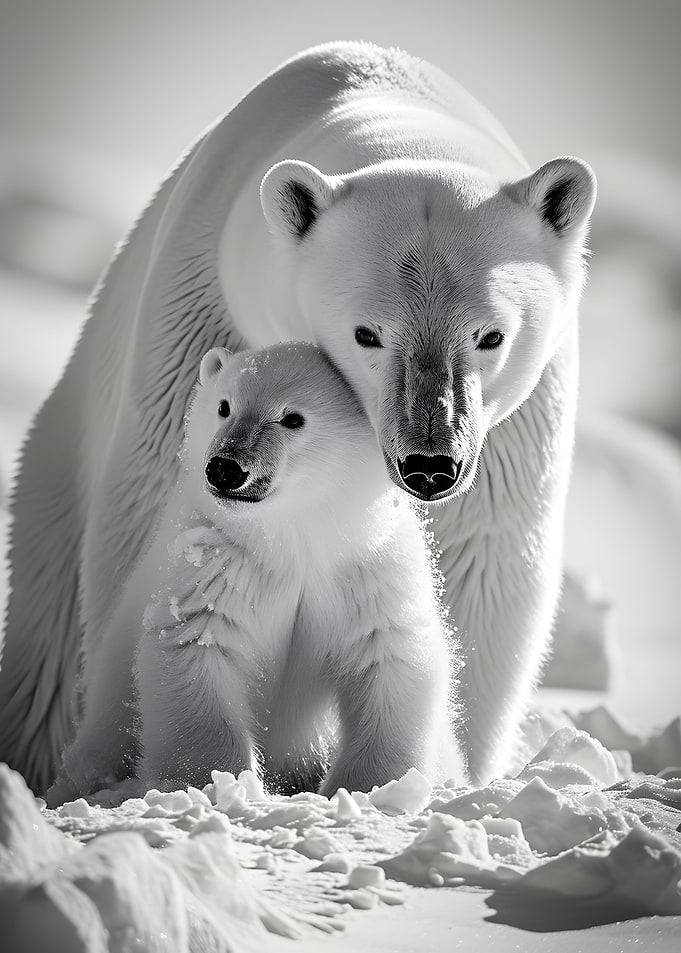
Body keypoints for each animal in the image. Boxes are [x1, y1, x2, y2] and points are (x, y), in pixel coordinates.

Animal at [47, 343, 456, 801]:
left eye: (292, 418)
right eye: (225, 406)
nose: (226, 467)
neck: (295, 538)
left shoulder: (367, 571)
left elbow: (391, 656)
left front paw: (371, 789)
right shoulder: (217, 565)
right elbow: (197, 646)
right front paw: (217, 784)